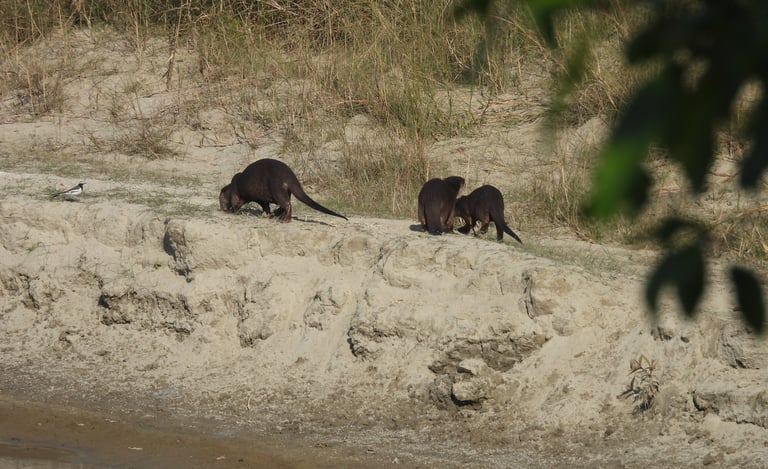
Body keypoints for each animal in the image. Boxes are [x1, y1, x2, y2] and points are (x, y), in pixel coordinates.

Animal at [219, 158, 348, 222]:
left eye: (220, 201)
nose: (222, 208)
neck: (232, 186)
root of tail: (289, 176)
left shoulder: (235, 192)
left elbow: (235, 204)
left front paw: (230, 211)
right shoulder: (262, 198)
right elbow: (266, 206)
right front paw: (267, 214)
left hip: (276, 187)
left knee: (287, 204)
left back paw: (284, 219)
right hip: (283, 190)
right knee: (285, 203)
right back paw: (278, 214)